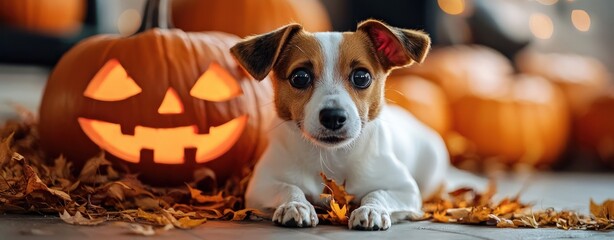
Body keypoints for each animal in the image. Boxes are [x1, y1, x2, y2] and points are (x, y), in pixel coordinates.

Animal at [231, 20, 482, 231]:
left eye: (361, 77)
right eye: (300, 77)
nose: (333, 116)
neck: (332, 157)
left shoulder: (406, 190)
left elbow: (379, 193)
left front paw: (371, 210)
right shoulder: (259, 187)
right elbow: (288, 188)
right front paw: (295, 205)